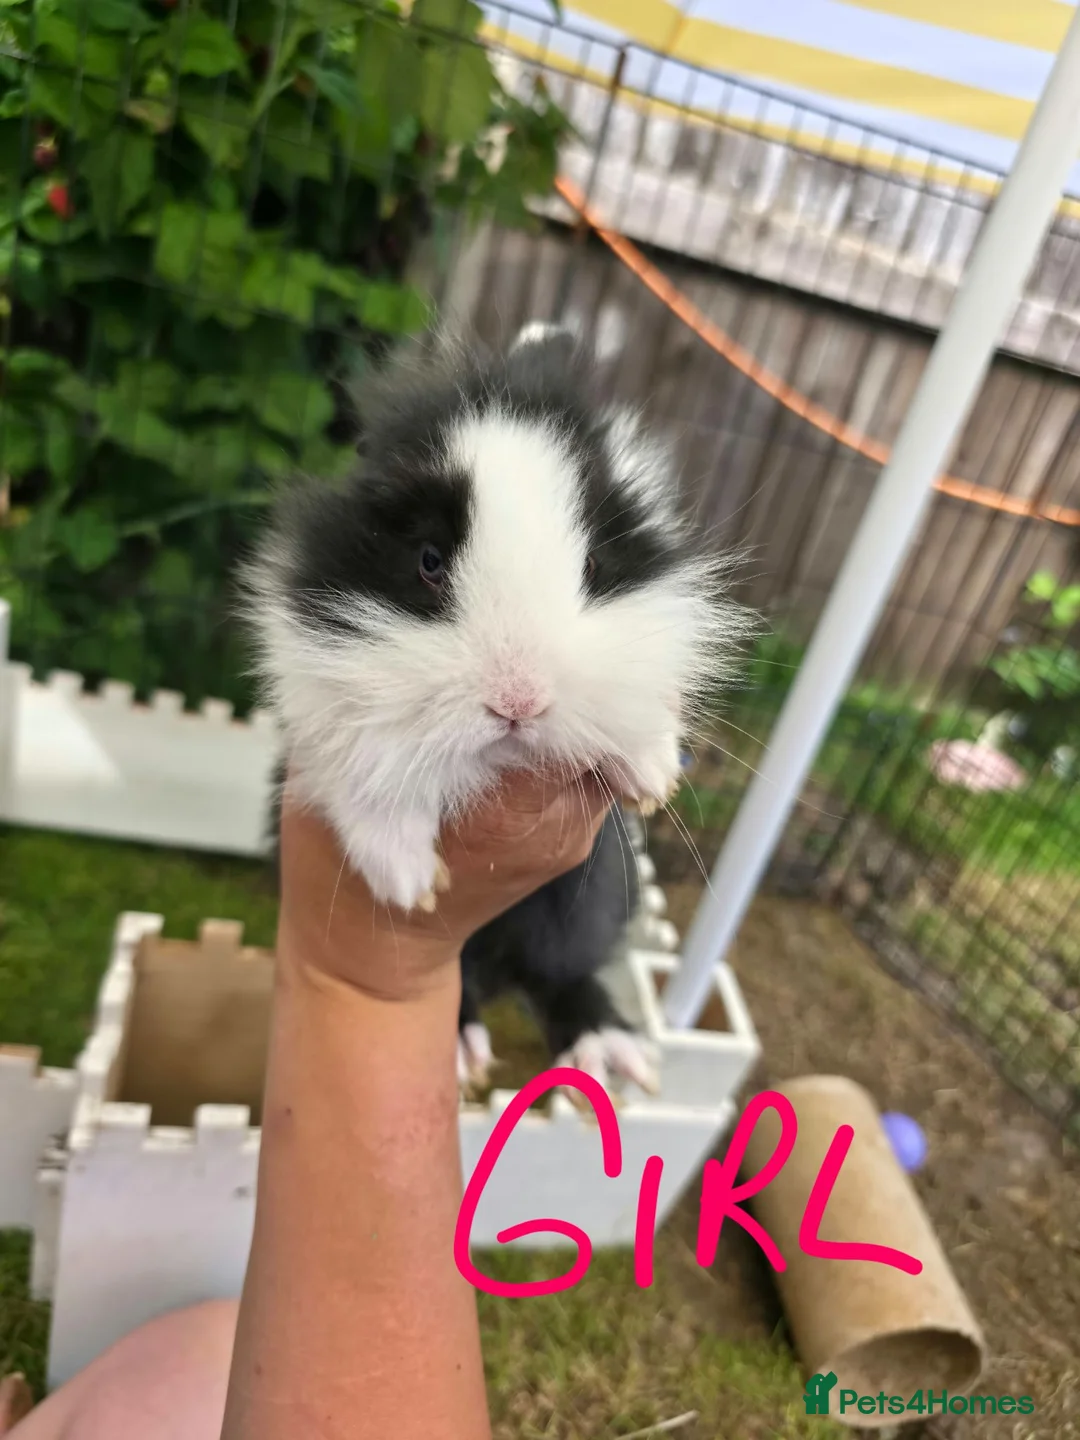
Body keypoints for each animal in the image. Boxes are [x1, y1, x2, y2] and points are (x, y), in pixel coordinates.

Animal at [246, 321, 749, 1090]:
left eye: (593, 567)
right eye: (429, 561)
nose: (520, 700)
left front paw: (652, 776)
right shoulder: (318, 716)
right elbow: (365, 783)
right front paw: (410, 883)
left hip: (589, 907)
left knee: (561, 977)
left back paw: (608, 1048)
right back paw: (462, 1047)